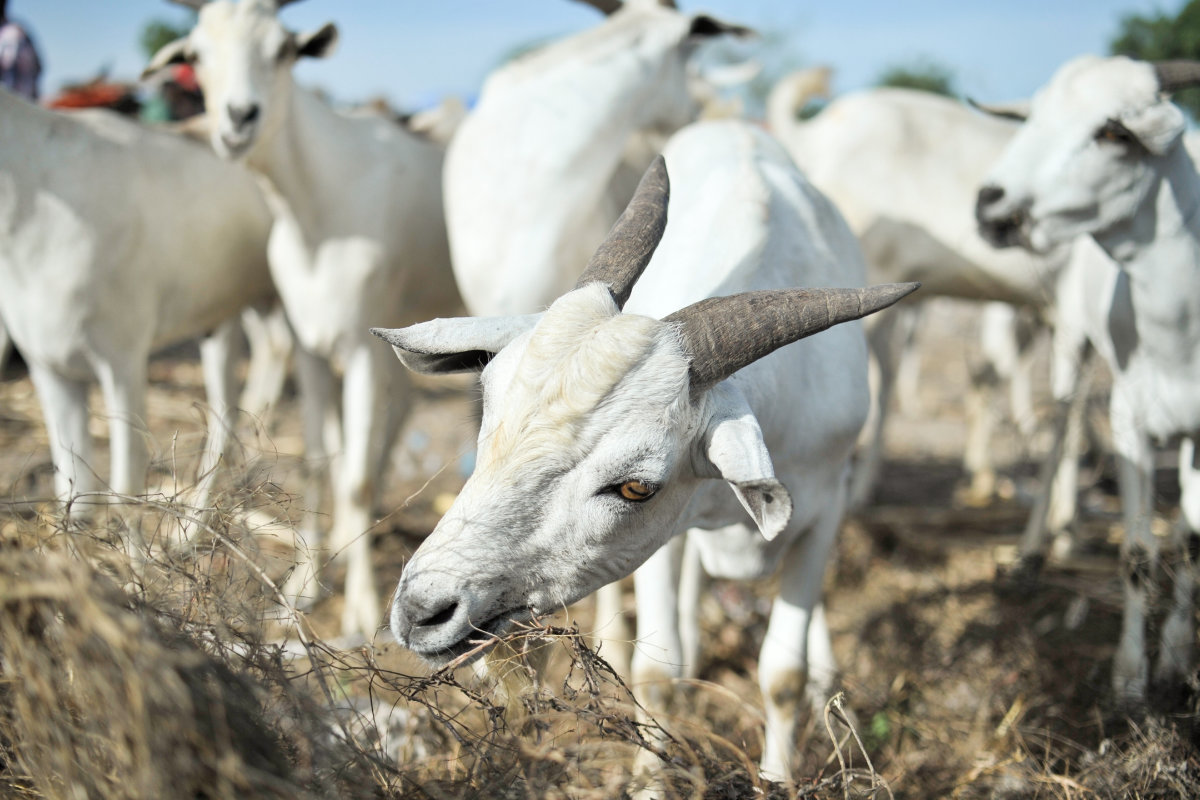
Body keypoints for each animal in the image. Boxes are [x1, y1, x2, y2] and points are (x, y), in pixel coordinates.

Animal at [0, 88, 274, 548]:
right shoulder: (49, 367)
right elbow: (74, 498)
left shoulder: (122, 358)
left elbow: (124, 490)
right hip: (223, 318)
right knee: (226, 415)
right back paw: (190, 534)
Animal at [146, 0, 462, 640]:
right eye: (196, 55)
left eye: (284, 50)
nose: (239, 118)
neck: (318, 202)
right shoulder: (308, 344)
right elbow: (321, 461)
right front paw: (305, 587)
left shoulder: (364, 345)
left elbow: (356, 478)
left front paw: (363, 609)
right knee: (398, 408)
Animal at [374, 123, 919, 782]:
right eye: (490, 414)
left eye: (635, 486)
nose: (422, 609)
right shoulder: (662, 540)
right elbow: (657, 673)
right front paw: (651, 782)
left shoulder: (822, 509)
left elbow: (782, 677)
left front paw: (780, 774)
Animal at [976, 55, 1200, 704]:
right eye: (1033, 117)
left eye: (1112, 132)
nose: (990, 202)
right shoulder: (1129, 417)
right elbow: (1137, 550)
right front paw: (1128, 679)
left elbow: (1192, 542)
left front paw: (1176, 662)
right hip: (1072, 337)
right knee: (1063, 425)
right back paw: (1034, 552)